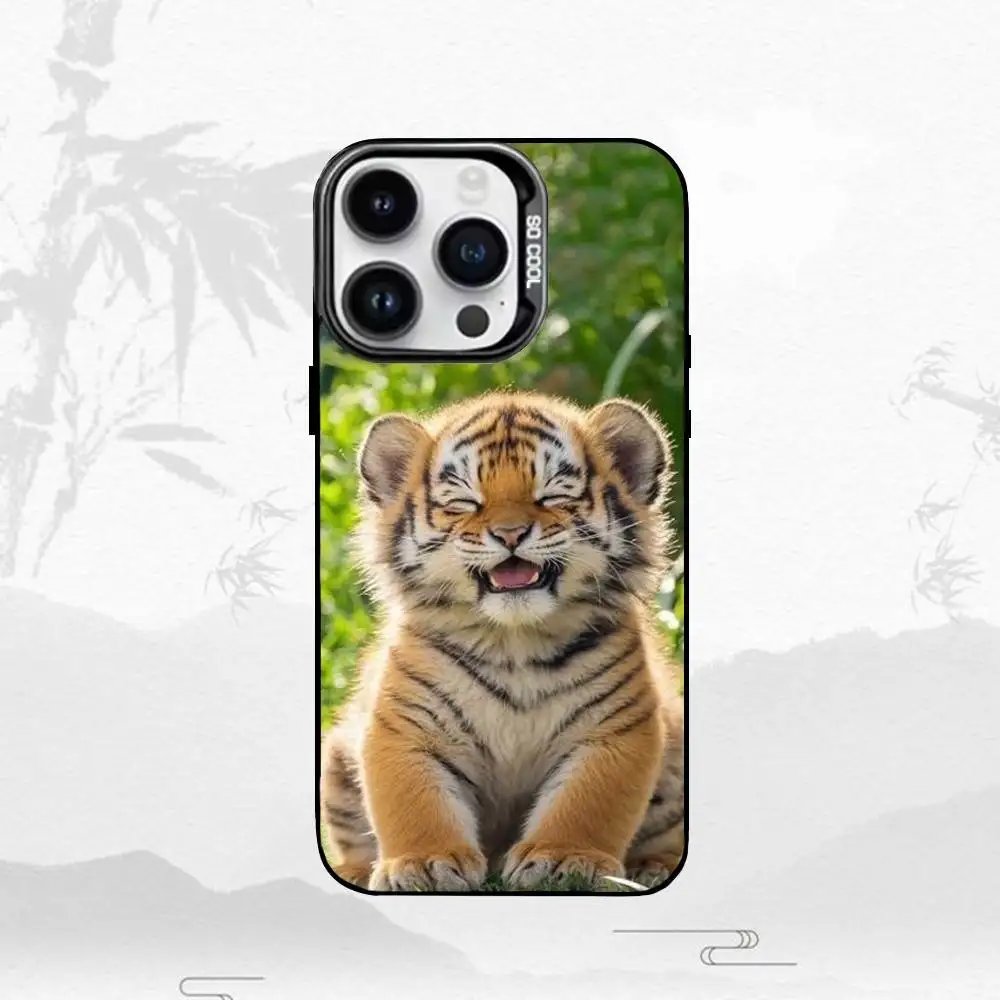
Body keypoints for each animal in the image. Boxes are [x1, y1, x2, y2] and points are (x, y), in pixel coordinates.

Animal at [320, 389, 685, 892]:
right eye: (465, 502)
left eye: (551, 495)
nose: (510, 534)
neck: (515, 642)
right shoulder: (406, 725)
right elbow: (413, 801)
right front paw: (426, 863)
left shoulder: (615, 727)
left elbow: (589, 802)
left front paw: (562, 860)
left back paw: (654, 866)